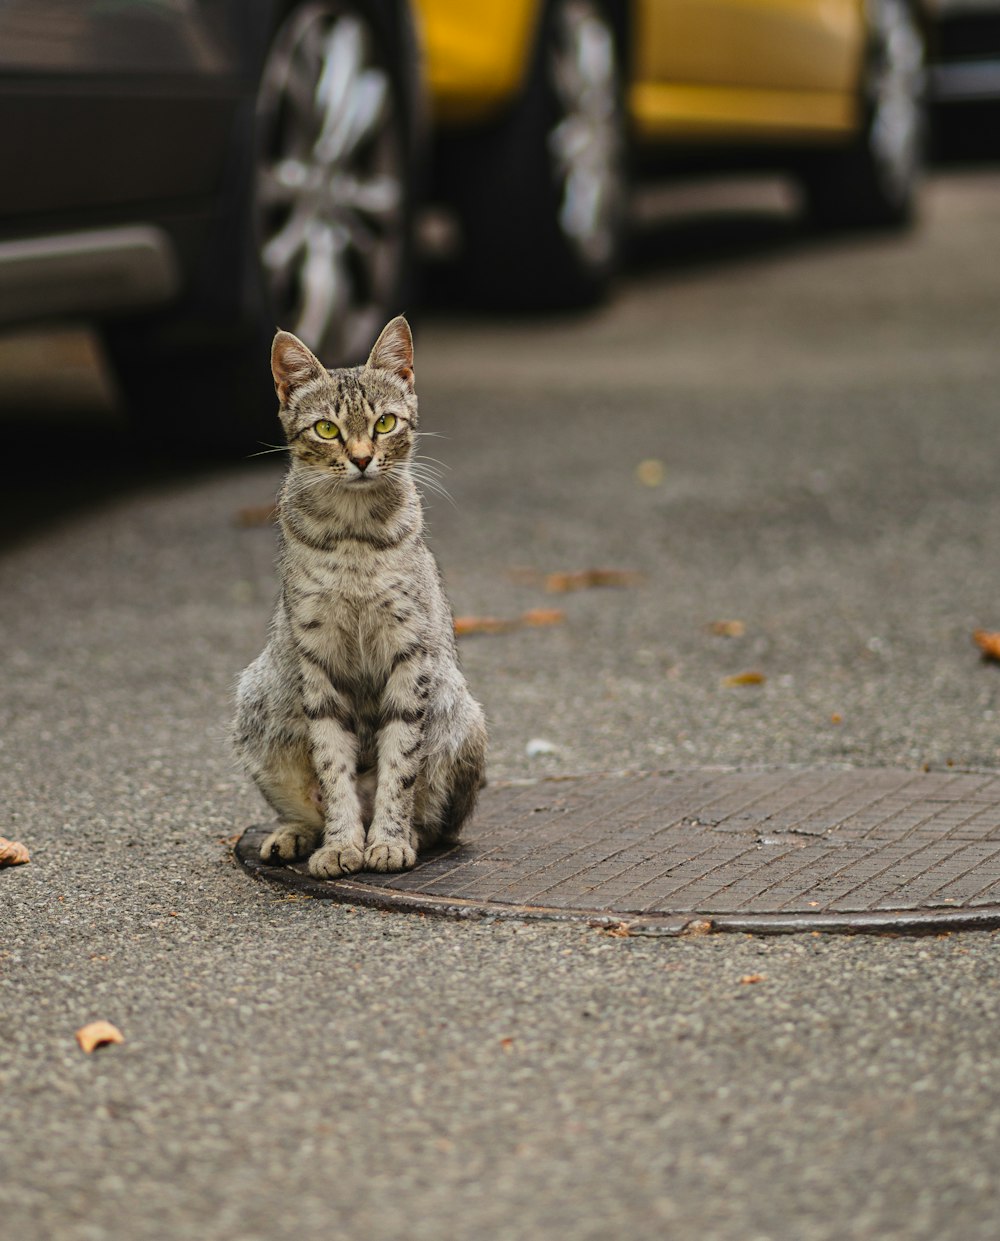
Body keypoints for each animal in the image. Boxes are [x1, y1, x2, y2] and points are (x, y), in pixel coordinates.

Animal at [234, 315, 486, 878]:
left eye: (385, 424)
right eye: (327, 429)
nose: (364, 459)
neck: (353, 534)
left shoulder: (409, 653)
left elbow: (400, 766)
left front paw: (387, 840)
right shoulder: (317, 659)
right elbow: (333, 770)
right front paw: (341, 844)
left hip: (460, 714)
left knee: (437, 822)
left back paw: (407, 832)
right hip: (258, 701)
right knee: (305, 804)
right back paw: (295, 835)